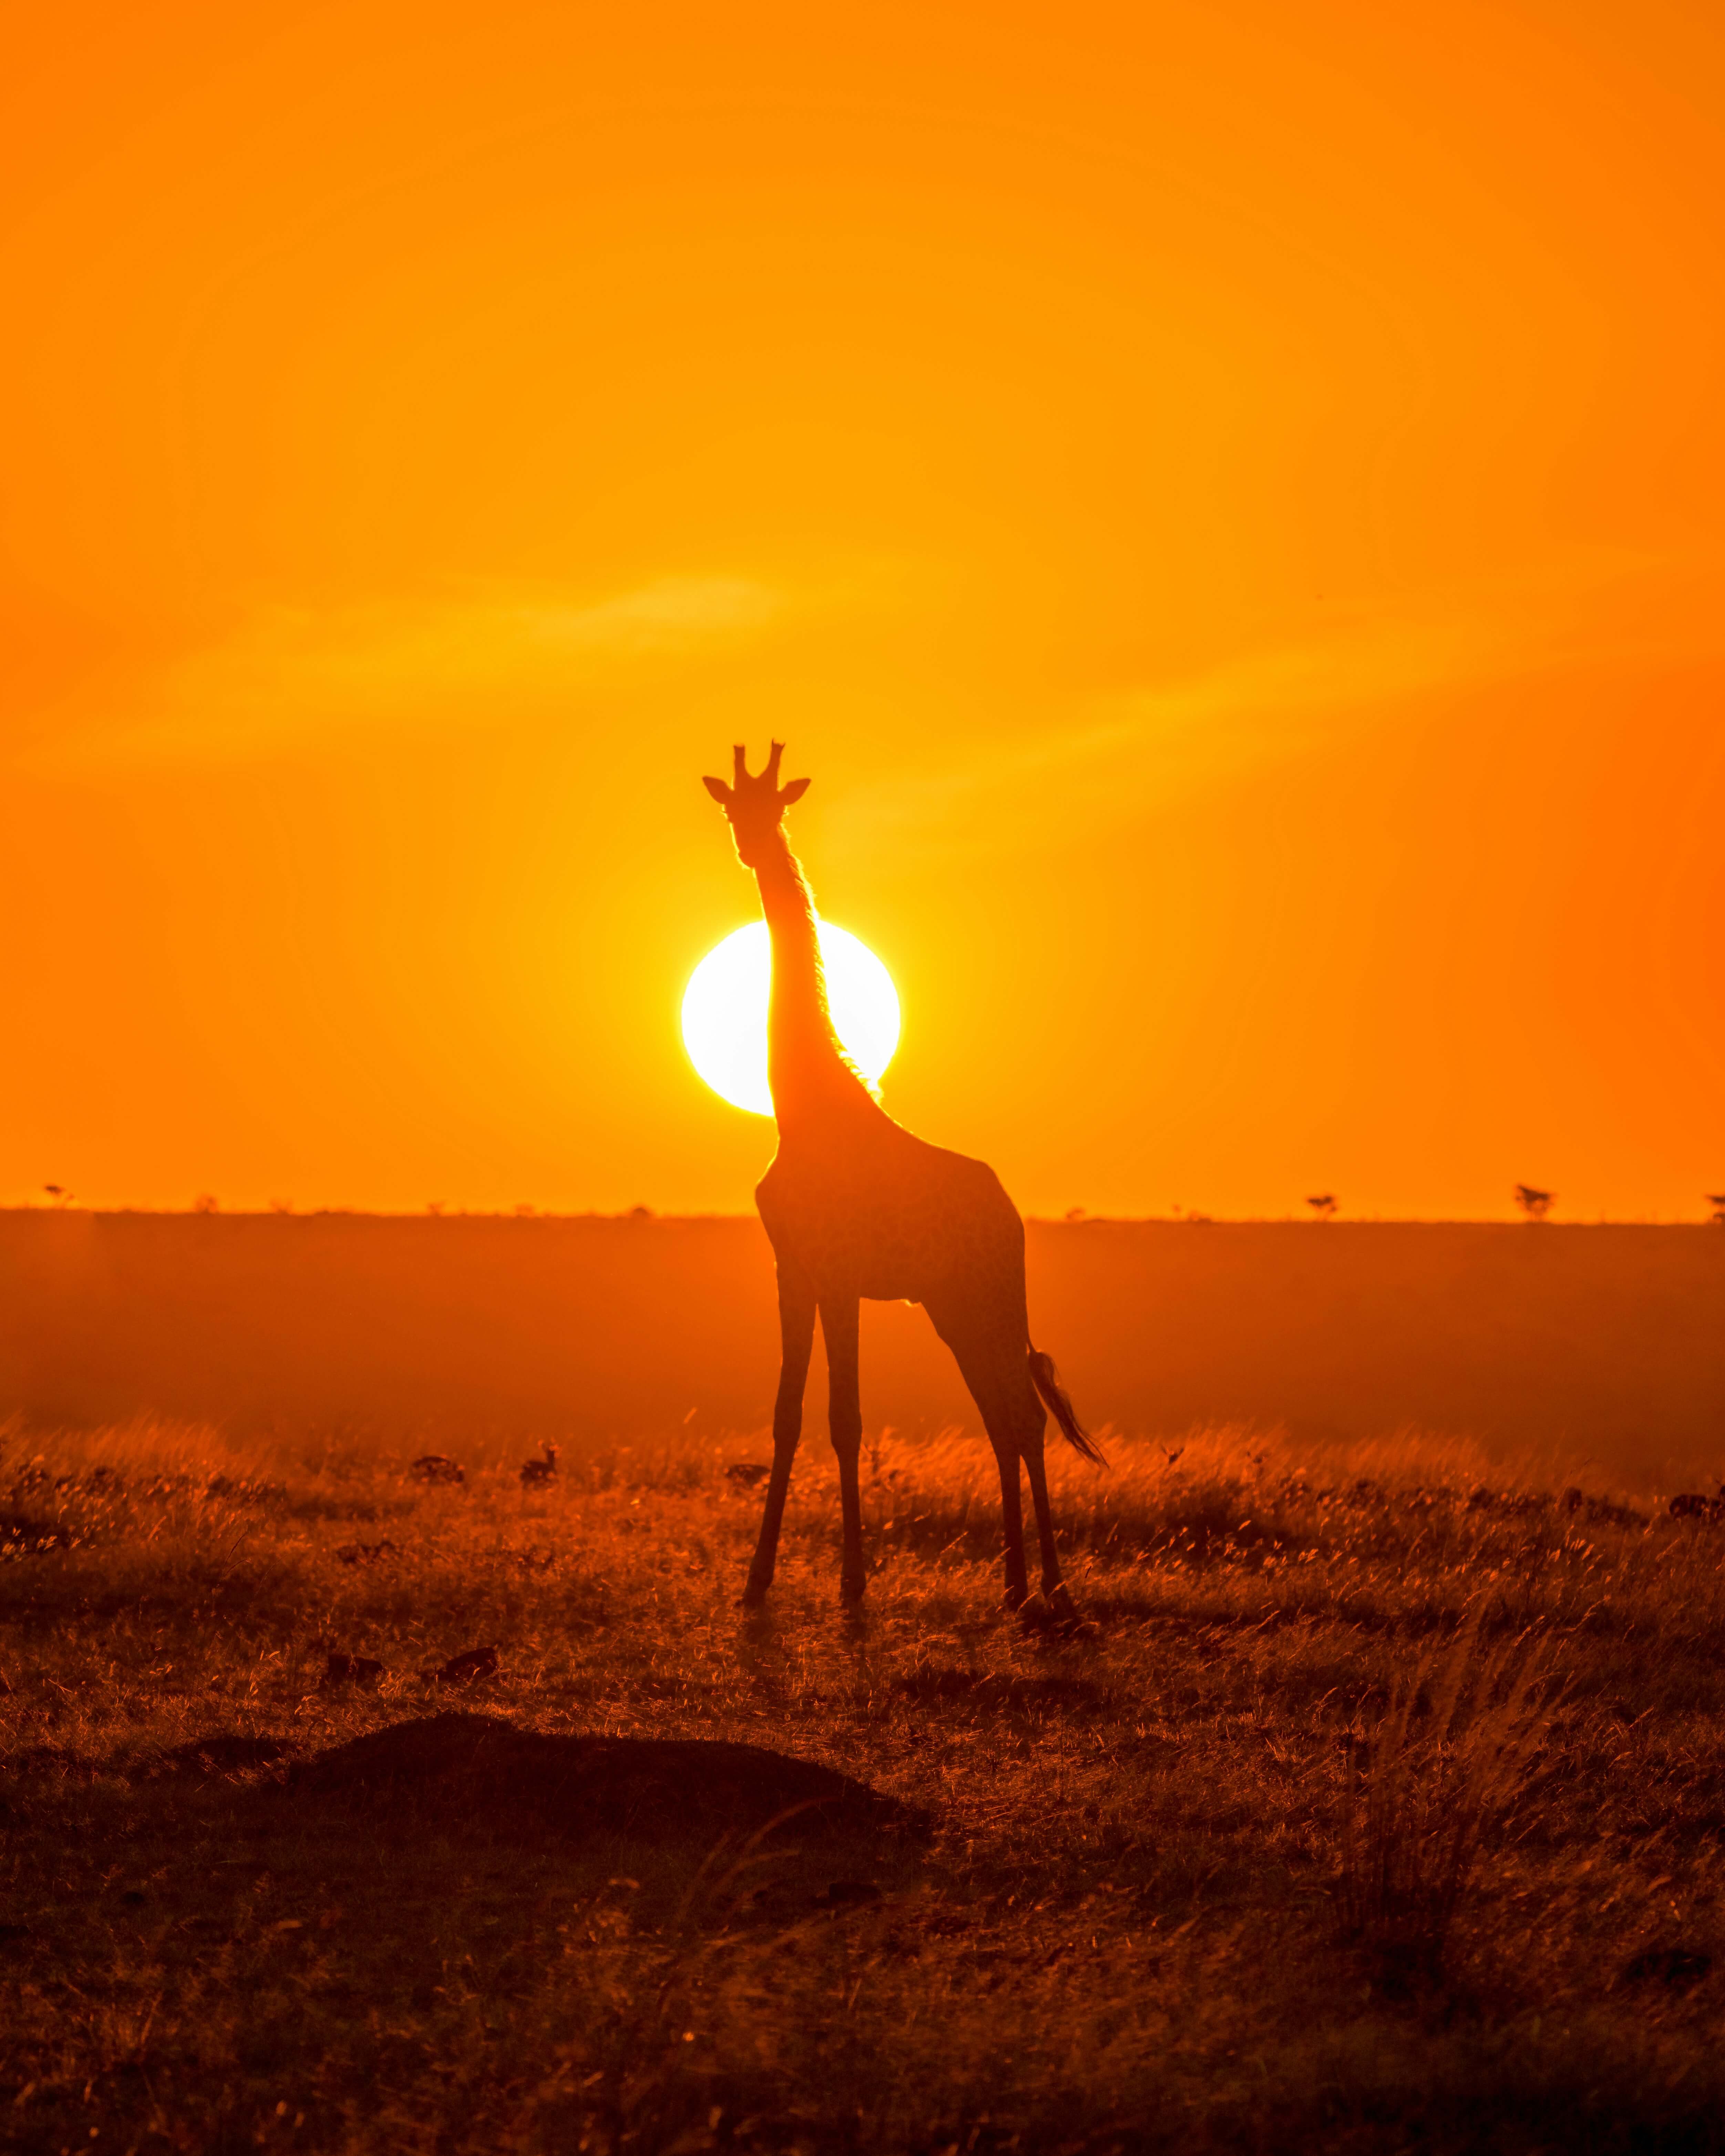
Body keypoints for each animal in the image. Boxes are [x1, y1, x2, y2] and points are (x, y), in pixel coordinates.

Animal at [702, 742, 1105, 1613]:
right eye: (729, 807)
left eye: (776, 806)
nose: (751, 848)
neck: (803, 1108)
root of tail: (1010, 1216)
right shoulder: (794, 1273)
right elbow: (787, 1415)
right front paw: (756, 1582)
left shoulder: (840, 1279)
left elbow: (845, 1418)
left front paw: (854, 1582)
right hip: (953, 1308)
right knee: (1002, 1417)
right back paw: (1015, 1584)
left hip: (989, 1298)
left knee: (1022, 1415)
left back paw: (1050, 1586)